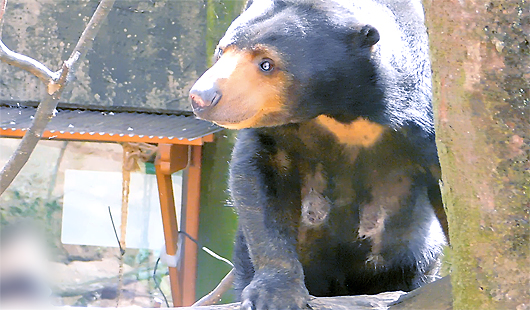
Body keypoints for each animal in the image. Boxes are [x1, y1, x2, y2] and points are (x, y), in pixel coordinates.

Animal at [188, 0, 444, 308]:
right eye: (221, 51)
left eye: (266, 63)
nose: (202, 97)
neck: (342, 109)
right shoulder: (276, 134)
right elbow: (259, 182)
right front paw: (275, 293)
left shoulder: (425, 123)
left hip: (413, 254)